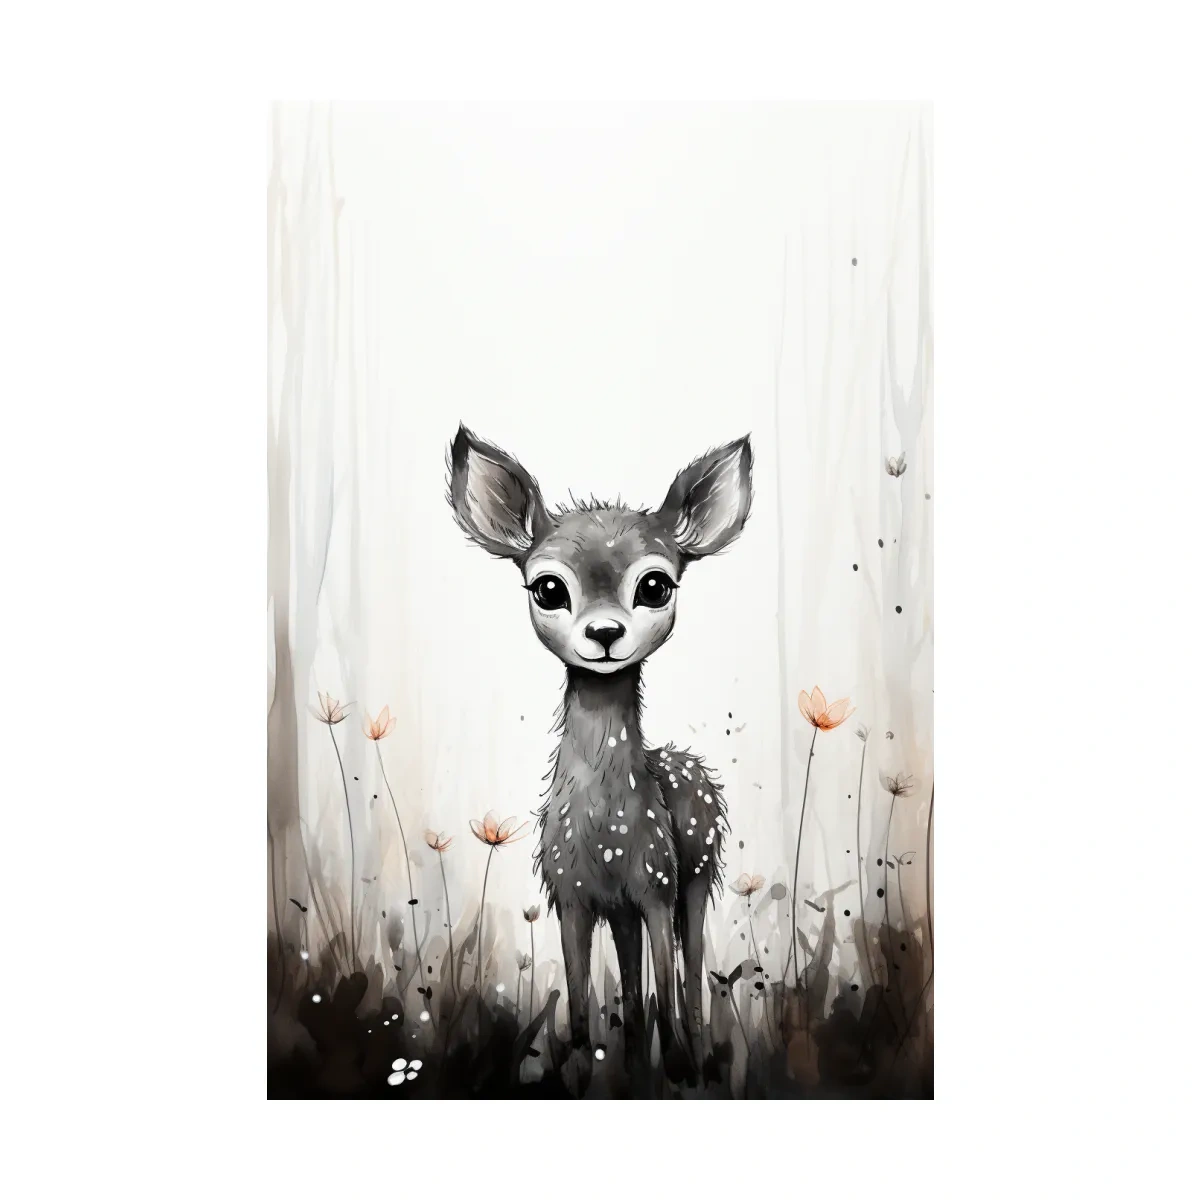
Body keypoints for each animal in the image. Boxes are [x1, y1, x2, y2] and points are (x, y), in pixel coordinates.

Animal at [447, 424, 752, 1093]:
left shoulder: (657, 884)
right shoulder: (572, 894)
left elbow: (667, 987)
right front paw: (584, 1073)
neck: (606, 830)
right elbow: (585, 1008)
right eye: (548, 587)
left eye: (656, 584)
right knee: (634, 992)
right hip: (625, 909)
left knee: (688, 980)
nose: (606, 634)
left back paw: (693, 1062)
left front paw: (679, 1070)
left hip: (695, 874)